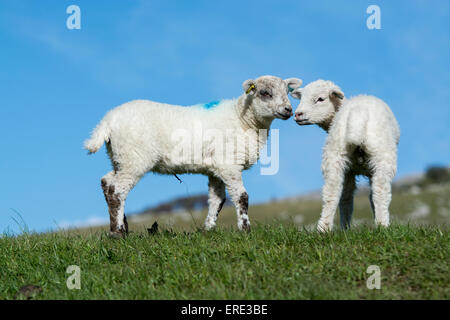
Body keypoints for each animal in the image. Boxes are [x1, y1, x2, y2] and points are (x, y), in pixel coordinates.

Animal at [292, 79, 400, 231]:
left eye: (320, 99)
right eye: (301, 98)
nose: (298, 114)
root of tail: (358, 115)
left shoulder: (349, 171)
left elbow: (346, 197)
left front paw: (345, 228)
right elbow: (366, 197)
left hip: (335, 153)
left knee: (332, 193)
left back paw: (324, 229)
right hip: (382, 156)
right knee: (380, 193)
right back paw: (382, 226)